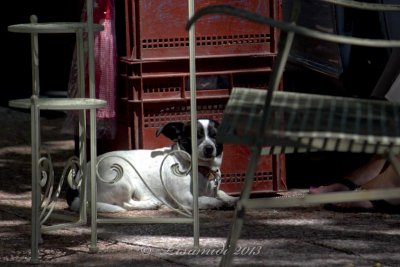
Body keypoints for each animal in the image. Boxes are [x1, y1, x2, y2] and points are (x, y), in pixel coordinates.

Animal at [67, 119, 239, 214]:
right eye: (195, 137)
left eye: (215, 136)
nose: (209, 148)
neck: (199, 169)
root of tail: (78, 181)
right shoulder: (186, 199)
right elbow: (209, 200)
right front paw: (220, 203)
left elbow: (220, 193)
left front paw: (231, 199)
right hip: (122, 181)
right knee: (126, 204)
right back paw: (151, 204)